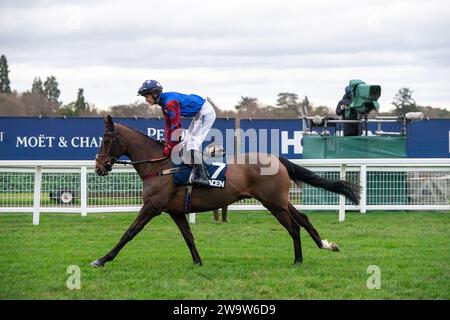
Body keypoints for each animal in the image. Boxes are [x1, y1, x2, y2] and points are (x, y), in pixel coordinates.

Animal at [91, 116, 358, 266]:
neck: (159, 167)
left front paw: (102, 259)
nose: (98, 167)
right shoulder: (175, 211)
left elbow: (129, 233)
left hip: (273, 202)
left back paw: (298, 260)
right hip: (278, 200)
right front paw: (198, 262)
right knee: (303, 218)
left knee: (293, 226)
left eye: (106, 141)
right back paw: (326, 245)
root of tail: (277, 159)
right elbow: (188, 237)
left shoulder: (152, 206)